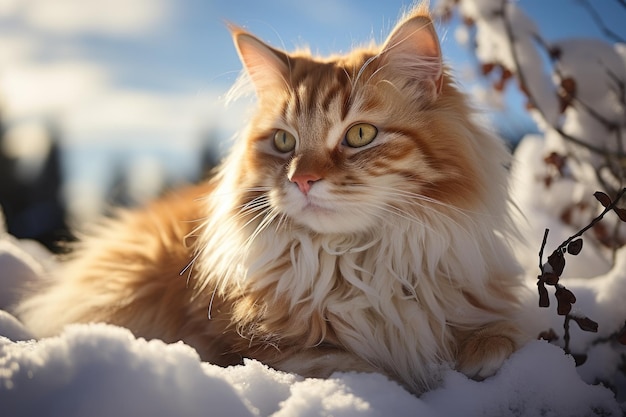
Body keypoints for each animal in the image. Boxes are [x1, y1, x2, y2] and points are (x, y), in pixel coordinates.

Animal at [15, 4, 528, 394]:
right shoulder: (259, 346)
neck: (358, 262)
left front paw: (477, 354)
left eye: (360, 135)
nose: (303, 180)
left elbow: (500, 333)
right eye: (283, 142)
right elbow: (356, 367)